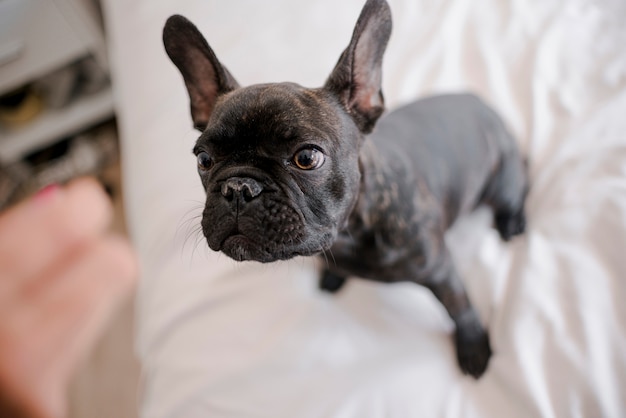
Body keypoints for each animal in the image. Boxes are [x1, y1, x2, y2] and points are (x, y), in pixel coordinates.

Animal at [162, 0, 528, 378]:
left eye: (307, 157)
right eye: (204, 159)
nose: (238, 187)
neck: (352, 231)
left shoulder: (441, 270)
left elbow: (460, 307)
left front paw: (473, 345)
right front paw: (332, 276)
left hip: (503, 179)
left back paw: (512, 223)